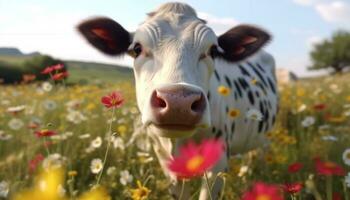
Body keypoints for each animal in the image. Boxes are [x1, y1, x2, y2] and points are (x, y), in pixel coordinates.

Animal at [78, 2, 278, 199]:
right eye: (137, 49)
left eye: (213, 51)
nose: (178, 102)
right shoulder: (166, 162)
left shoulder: (218, 162)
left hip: (266, 138)